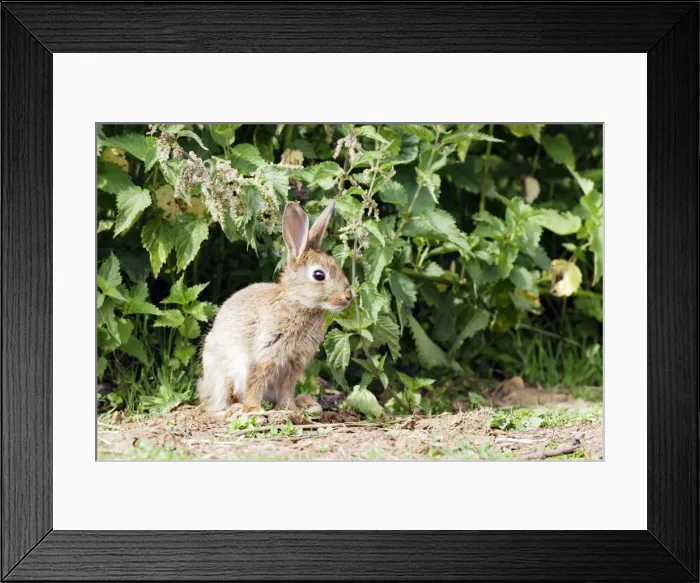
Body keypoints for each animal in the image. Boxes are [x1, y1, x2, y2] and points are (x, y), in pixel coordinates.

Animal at [197, 200, 352, 414]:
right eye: (319, 275)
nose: (348, 297)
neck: (298, 303)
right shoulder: (264, 354)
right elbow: (256, 381)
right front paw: (254, 409)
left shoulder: (293, 365)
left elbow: (286, 389)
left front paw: (290, 409)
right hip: (221, 376)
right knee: (214, 405)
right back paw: (233, 409)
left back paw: (307, 404)